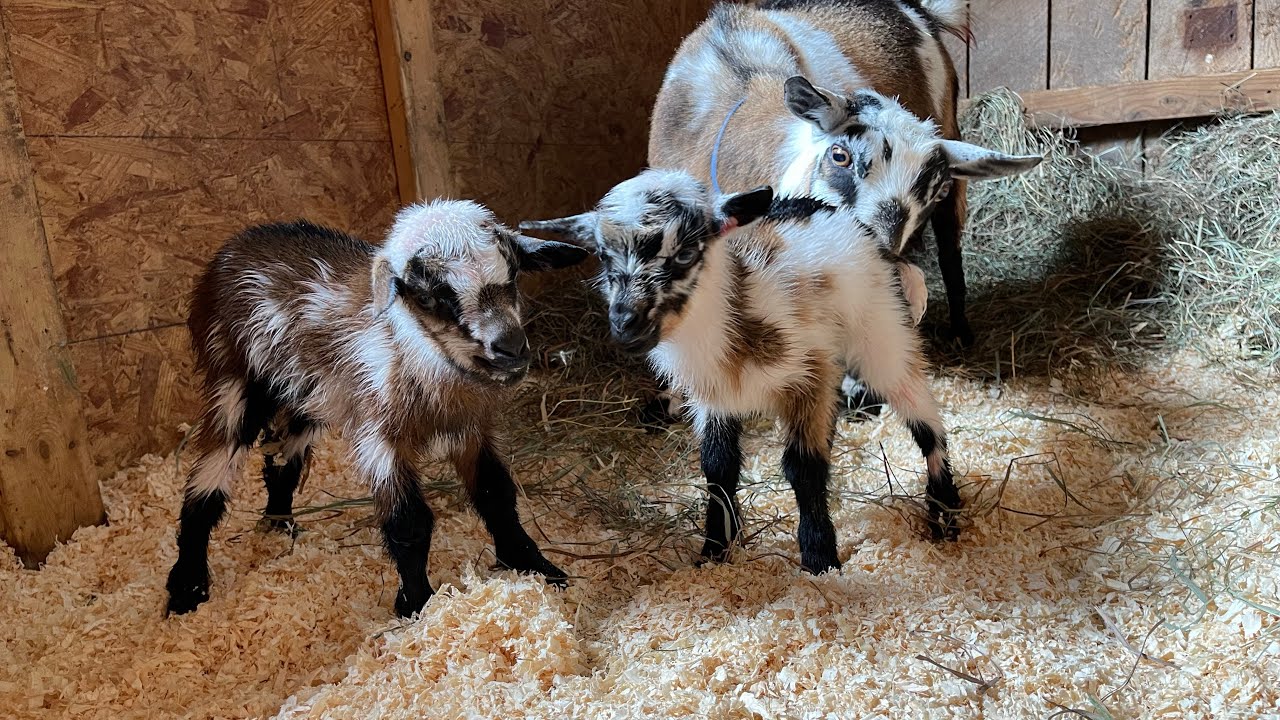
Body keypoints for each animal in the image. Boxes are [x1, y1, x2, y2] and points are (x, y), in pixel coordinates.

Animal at [165, 201, 587, 617]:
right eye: (430, 297)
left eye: (513, 274)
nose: (511, 348)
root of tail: (238, 241)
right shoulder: (380, 437)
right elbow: (409, 523)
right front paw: (417, 604)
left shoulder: (469, 429)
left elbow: (496, 494)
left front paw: (535, 566)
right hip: (234, 377)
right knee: (209, 476)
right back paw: (187, 585)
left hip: (307, 392)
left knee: (284, 458)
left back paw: (278, 524)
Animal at [524, 169, 964, 572]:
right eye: (602, 254)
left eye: (686, 252)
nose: (625, 324)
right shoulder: (714, 396)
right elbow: (718, 467)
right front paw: (716, 549)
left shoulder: (813, 375)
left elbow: (804, 466)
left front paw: (819, 557)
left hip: (883, 336)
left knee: (925, 420)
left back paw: (946, 513)